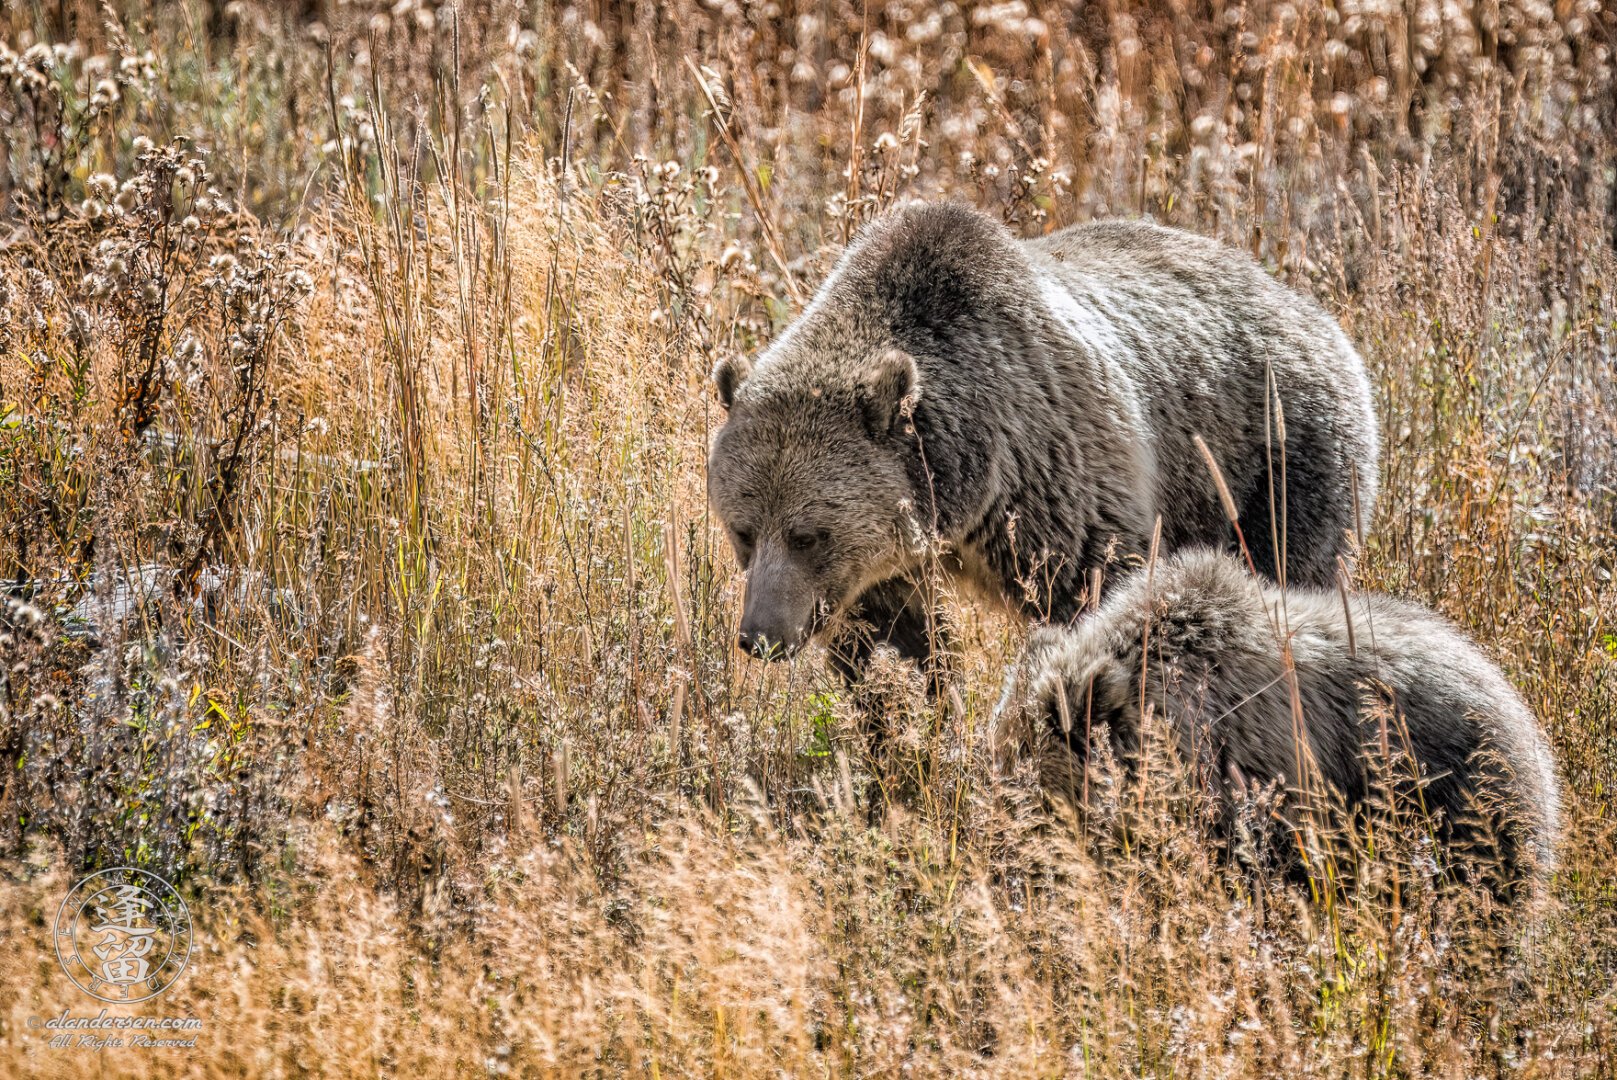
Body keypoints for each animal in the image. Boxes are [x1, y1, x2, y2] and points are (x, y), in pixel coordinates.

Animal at [706, 202, 1379, 727]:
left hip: (1277, 458)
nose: (762, 636)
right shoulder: (885, 561)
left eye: (808, 534)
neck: (964, 488)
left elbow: (1099, 595)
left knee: (1290, 570)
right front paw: (910, 728)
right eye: (743, 531)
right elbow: (894, 647)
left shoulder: (1054, 476)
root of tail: (1310, 309)